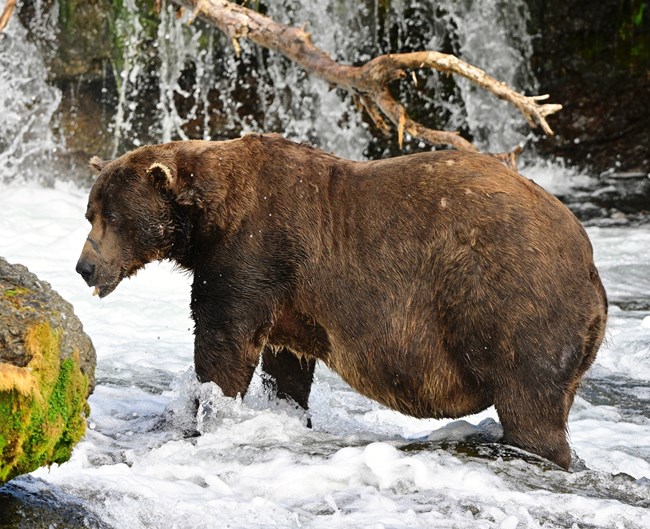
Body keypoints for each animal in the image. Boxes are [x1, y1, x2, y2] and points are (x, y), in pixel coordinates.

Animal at [76, 134, 607, 470]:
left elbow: (223, 344)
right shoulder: (289, 298)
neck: (208, 217)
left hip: (513, 301)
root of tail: (588, 261)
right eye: (90, 212)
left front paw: (201, 414)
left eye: (114, 216)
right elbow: (285, 365)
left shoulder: (253, 250)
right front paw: (285, 412)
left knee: (530, 404)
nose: (84, 267)